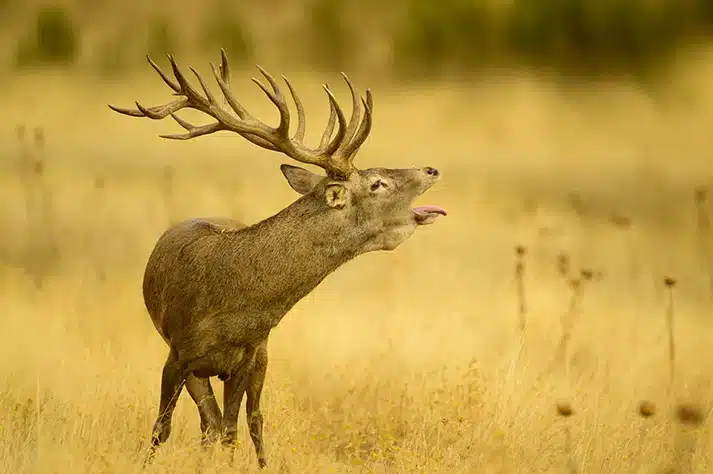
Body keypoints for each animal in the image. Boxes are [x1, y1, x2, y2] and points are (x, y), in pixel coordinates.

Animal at [108, 49, 446, 468]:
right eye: (377, 183)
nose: (431, 168)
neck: (234, 308)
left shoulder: (248, 356)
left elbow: (233, 430)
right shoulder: (178, 354)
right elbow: (163, 428)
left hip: (262, 360)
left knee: (245, 422)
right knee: (208, 422)